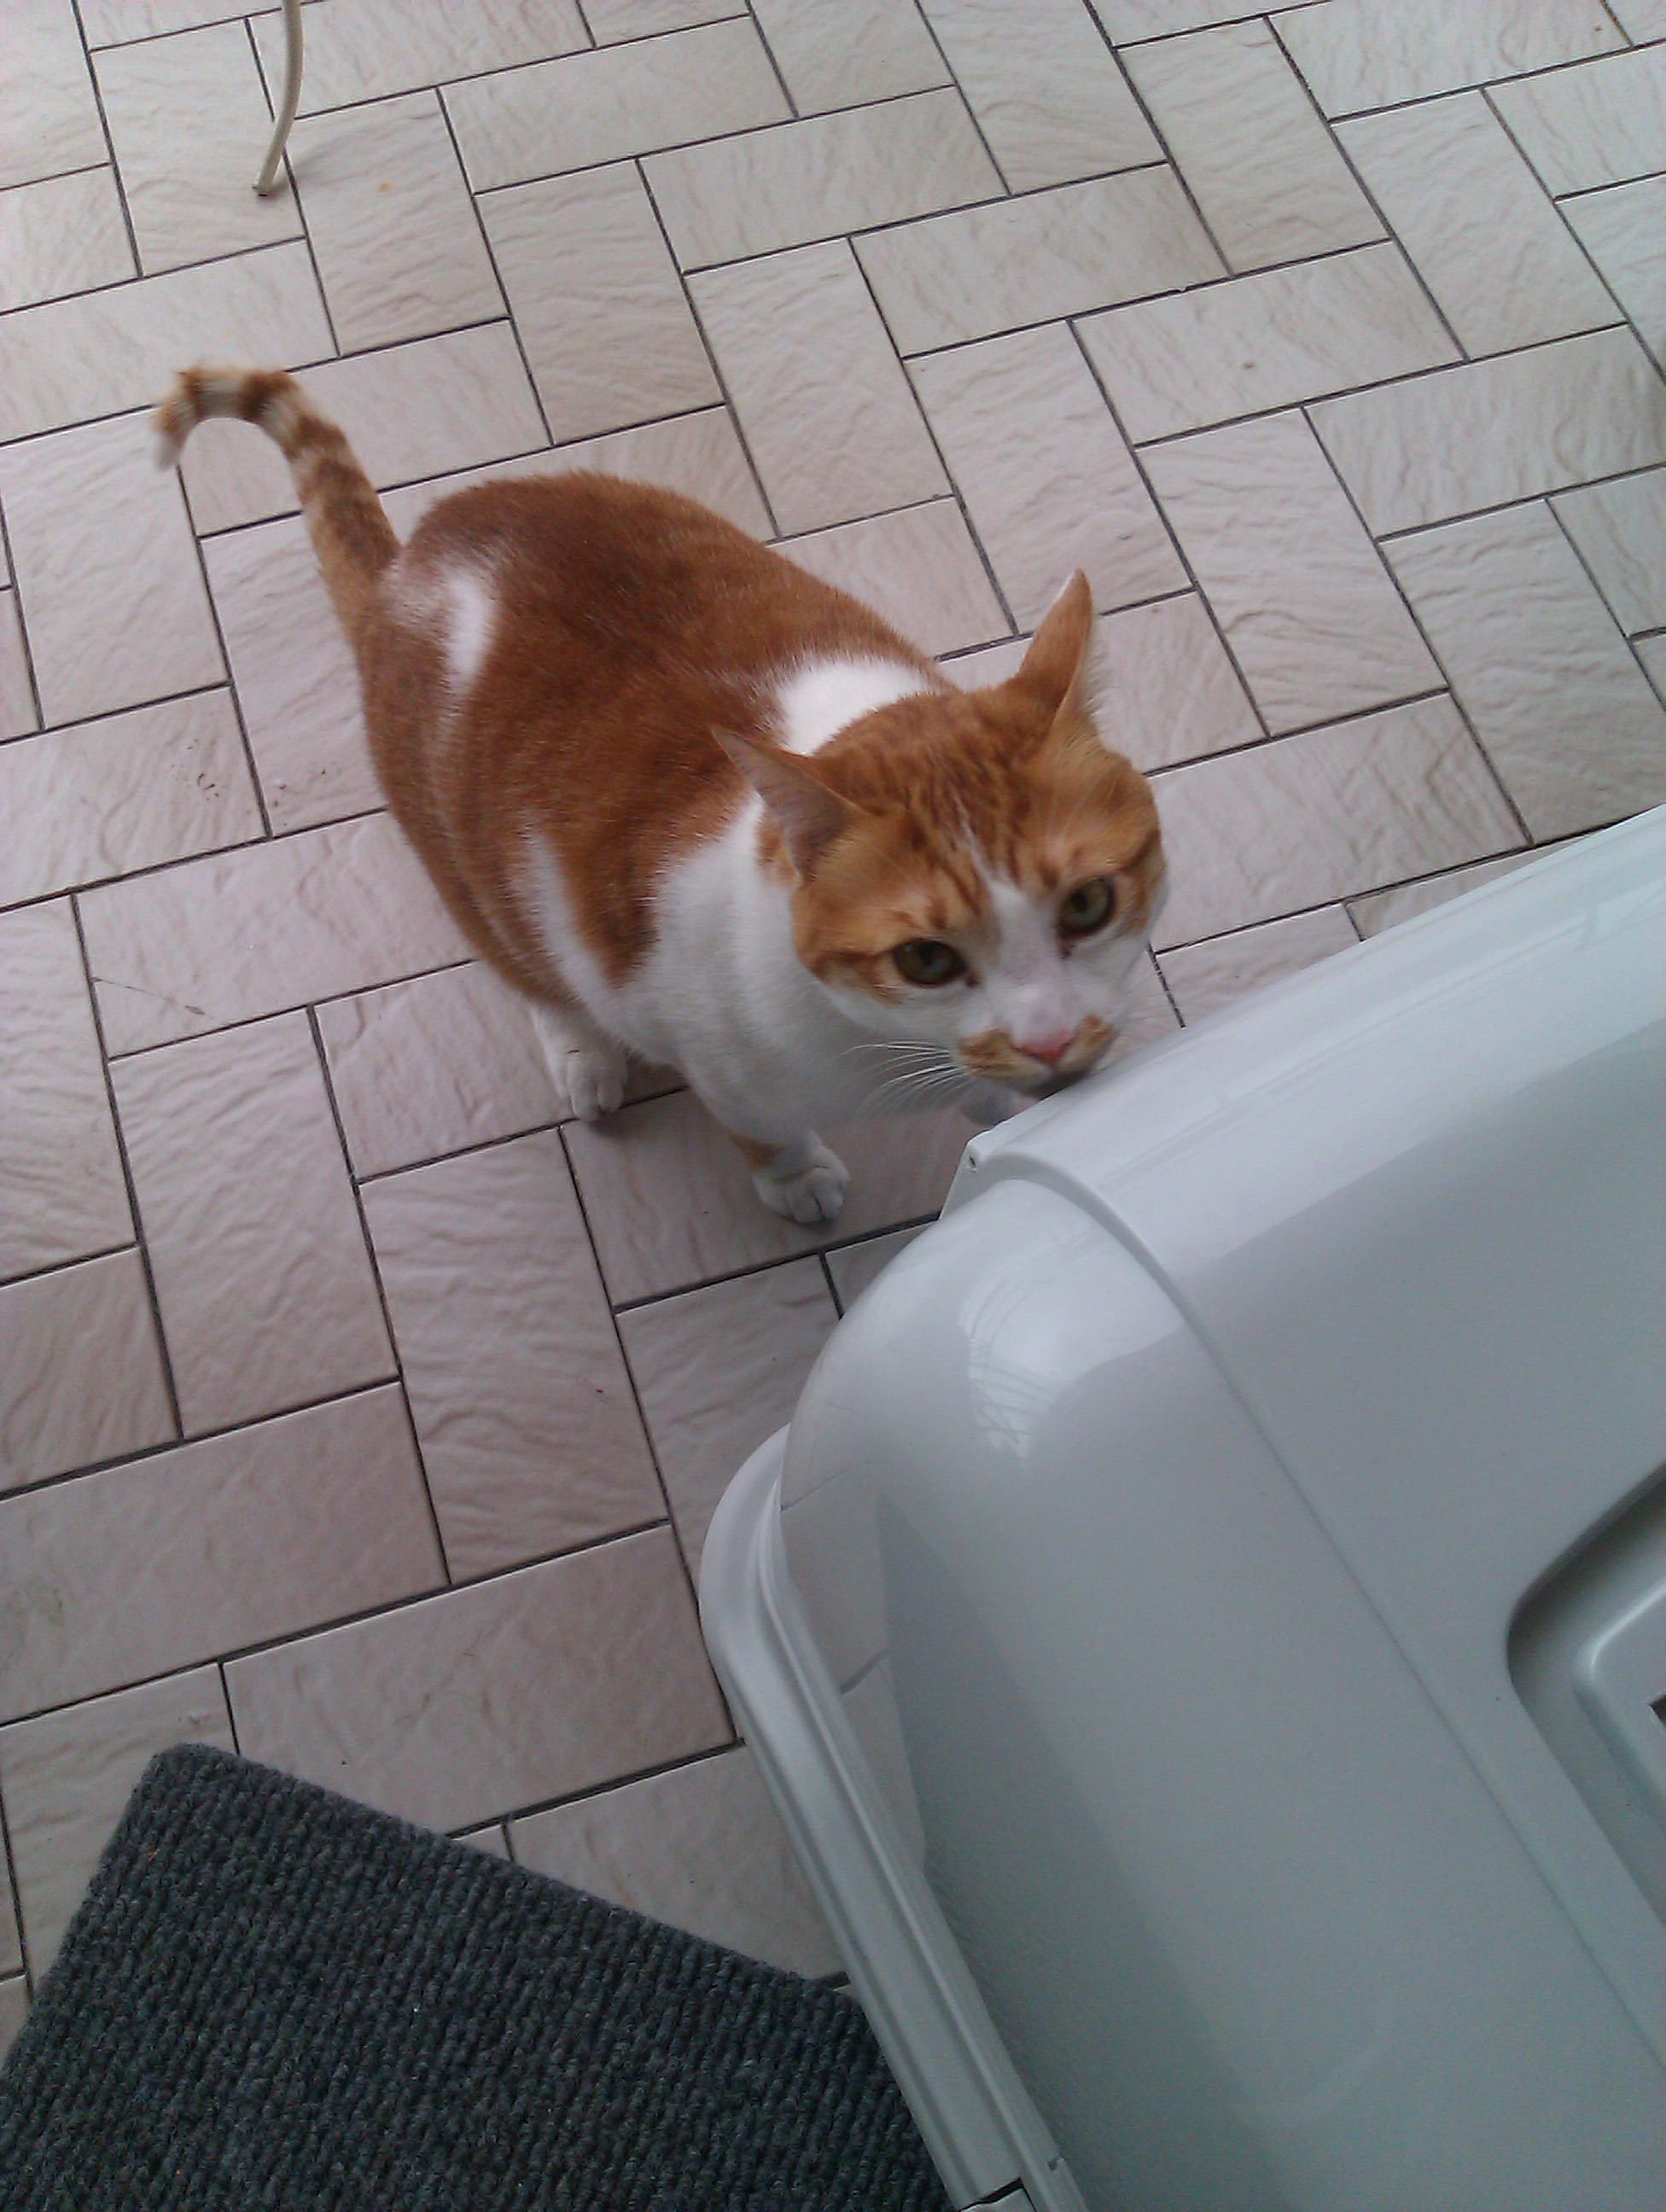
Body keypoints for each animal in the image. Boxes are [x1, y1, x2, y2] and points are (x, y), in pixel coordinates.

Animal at [156, 365, 1166, 1224]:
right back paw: (583, 1054)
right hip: (463, 864)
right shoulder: (716, 1056)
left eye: (1087, 904)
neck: (884, 1048)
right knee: (525, 963)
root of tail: (412, 563)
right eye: (925, 959)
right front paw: (795, 1179)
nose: (1048, 1041)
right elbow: (760, 1129)